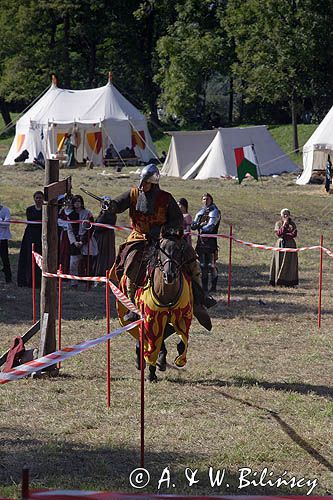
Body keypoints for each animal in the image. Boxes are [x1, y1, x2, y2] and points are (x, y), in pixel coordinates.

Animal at [115, 233, 192, 382]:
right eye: (161, 249)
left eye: (179, 249)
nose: (169, 275)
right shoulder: (151, 318)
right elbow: (153, 342)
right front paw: (151, 373)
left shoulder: (181, 318)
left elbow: (176, 337)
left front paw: (164, 360)